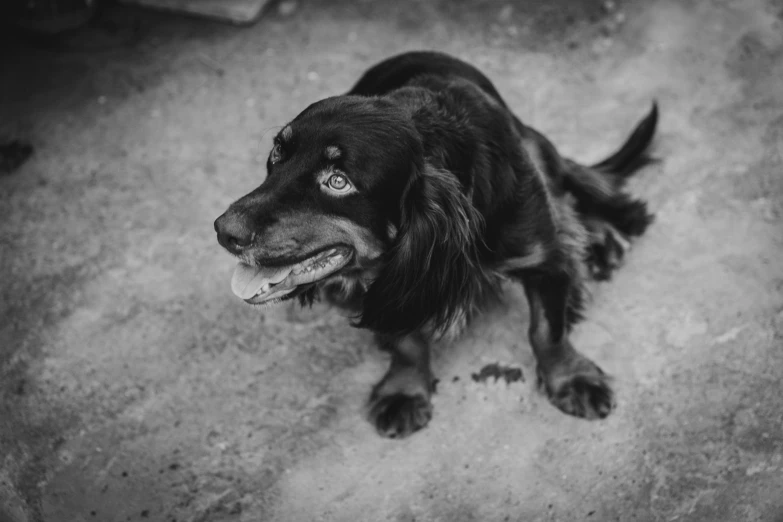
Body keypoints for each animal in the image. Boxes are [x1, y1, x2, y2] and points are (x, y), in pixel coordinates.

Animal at [213, 50, 656, 436]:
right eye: (278, 152)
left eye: (338, 181)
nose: (224, 230)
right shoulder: (386, 283)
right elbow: (406, 340)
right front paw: (405, 391)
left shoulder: (542, 258)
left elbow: (547, 329)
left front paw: (572, 379)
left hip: (539, 152)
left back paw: (600, 240)